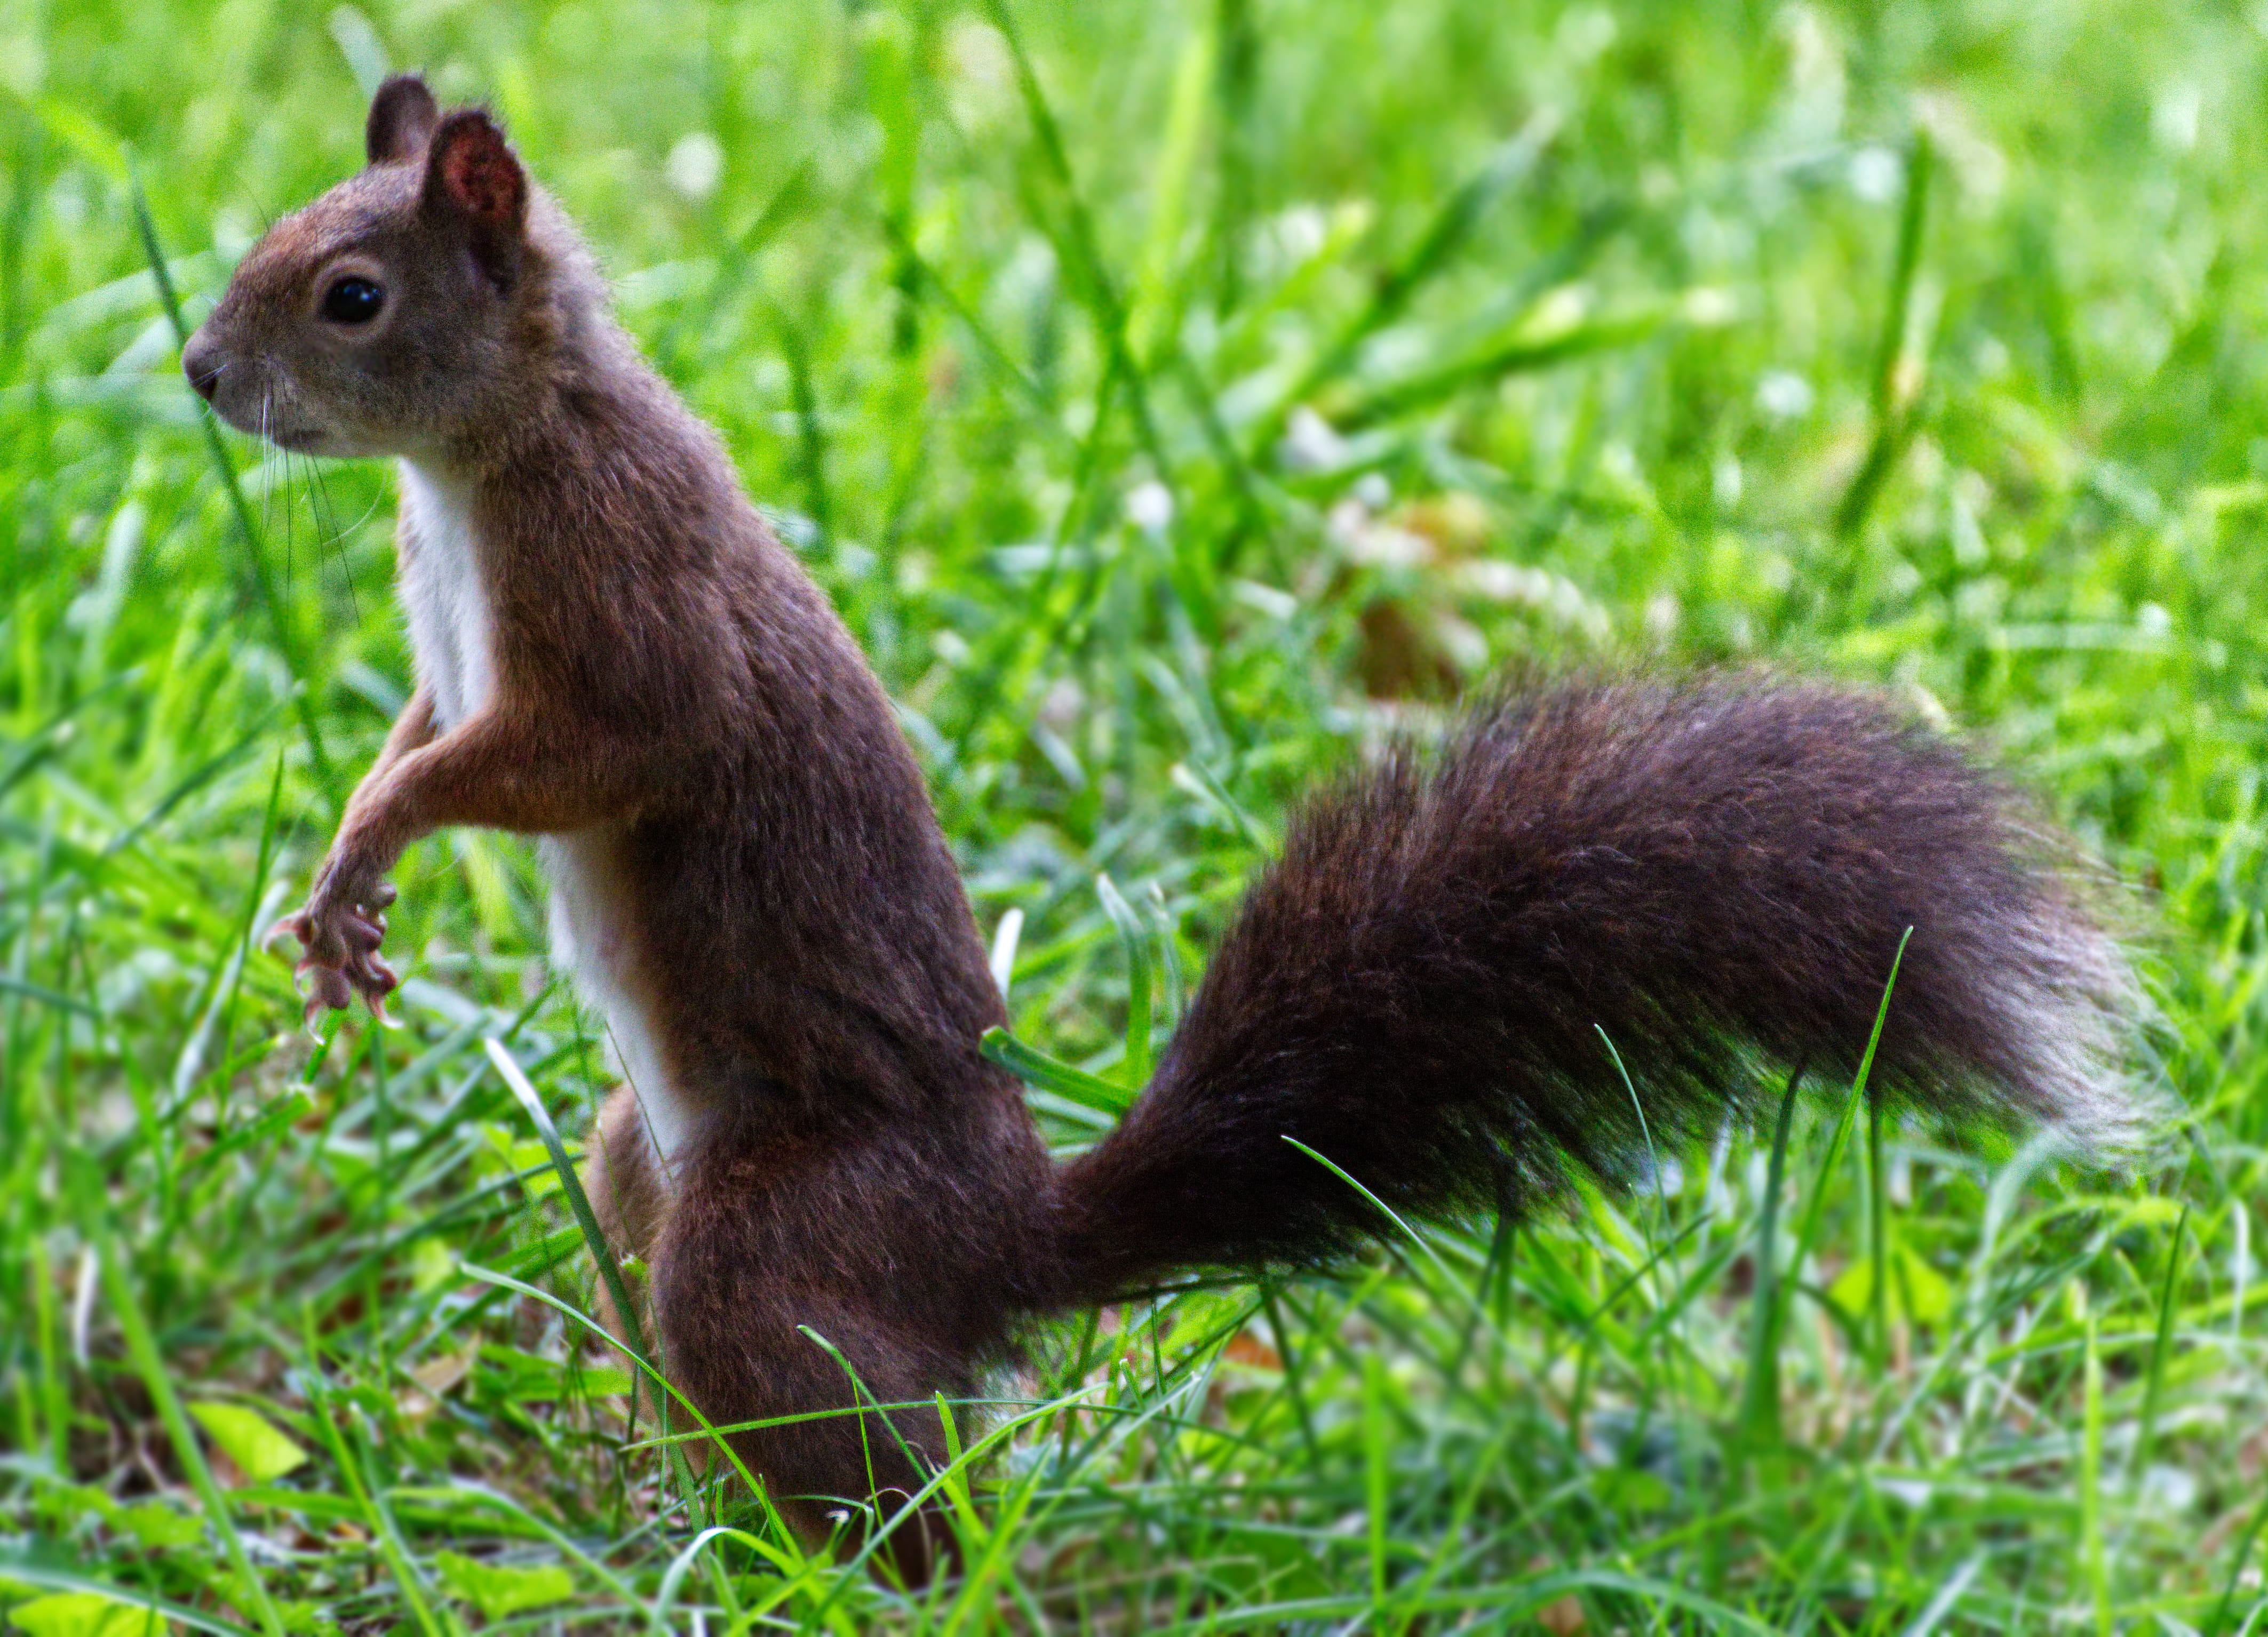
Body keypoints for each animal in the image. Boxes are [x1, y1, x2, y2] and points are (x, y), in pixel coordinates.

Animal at [182, 76, 2140, 1565]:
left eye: (349, 294)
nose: (201, 372)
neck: (483, 455)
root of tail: (1005, 1244)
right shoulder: (461, 652)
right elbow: (427, 732)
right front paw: (345, 868)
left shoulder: (624, 602)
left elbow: (570, 753)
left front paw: (374, 849)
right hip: (636, 1163)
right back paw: (686, 1529)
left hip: (768, 1241)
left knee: (898, 1477)